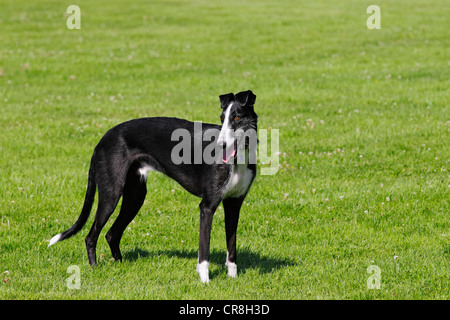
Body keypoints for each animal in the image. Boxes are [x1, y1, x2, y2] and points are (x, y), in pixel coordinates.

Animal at [48, 89, 258, 282]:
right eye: (221, 119)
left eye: (236, 117)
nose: (220, 145)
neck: (238, 159)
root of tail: (102, 140)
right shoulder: (207, 206)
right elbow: (204, 250)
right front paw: (205, 282)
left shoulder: (234, 204)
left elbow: (231, 246)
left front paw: (233, 278)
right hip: (111, 194)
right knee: (91, 236)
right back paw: (94, 268)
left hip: (135, 196)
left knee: (111, 234)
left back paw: (120, 265)